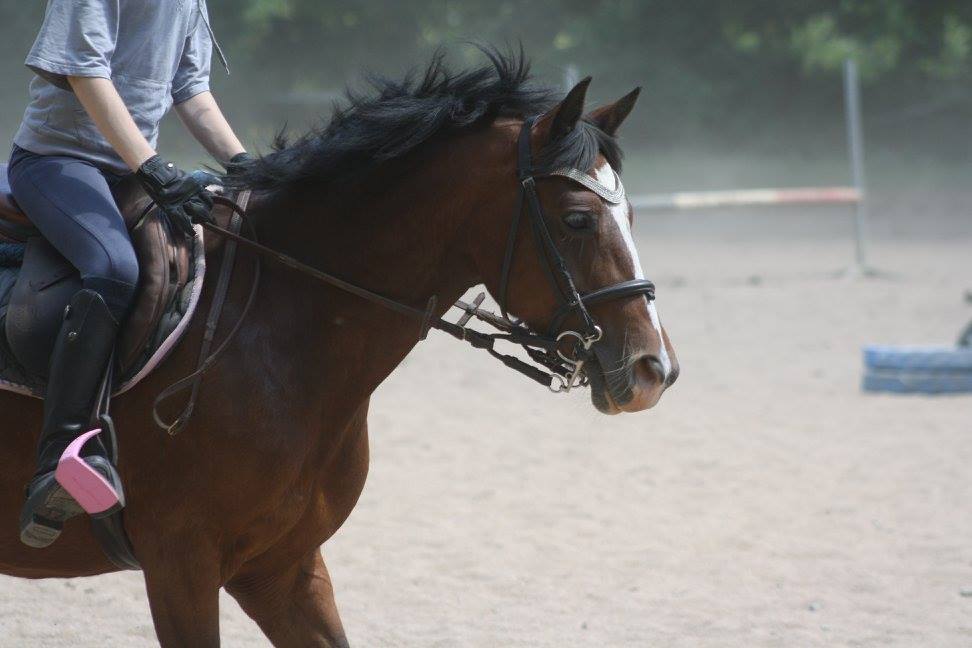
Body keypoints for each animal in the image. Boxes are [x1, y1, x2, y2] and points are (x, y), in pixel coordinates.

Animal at [0, 51, 678, 647]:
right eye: (577, 219)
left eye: (631, 216)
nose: (654, 369)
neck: (278, 330)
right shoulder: (181, 563)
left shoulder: (282, 569)